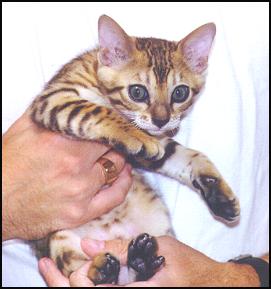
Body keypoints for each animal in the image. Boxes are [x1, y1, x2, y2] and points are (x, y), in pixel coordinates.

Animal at [30, 15, 241, 284]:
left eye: (180, 92)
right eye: (137, 91)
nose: (162, 120)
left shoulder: (156, 147)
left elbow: (189, 156)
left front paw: (219, 195)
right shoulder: (54, 99)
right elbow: (96, 110)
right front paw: (133, 133)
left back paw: (140, 260)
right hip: (60, 238)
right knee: (81, 272)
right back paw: (103, 269)